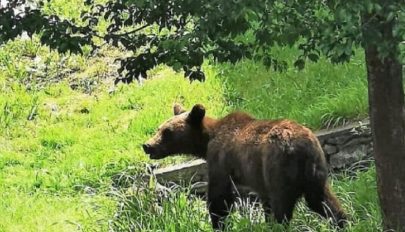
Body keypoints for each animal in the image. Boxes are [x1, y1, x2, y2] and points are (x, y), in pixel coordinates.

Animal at [142, 104, 344, 230]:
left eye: (167, 132)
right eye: (159, 128)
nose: (147, 145)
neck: (206, 141)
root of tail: (300, 147)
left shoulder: (219, 161)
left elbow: (219, 198)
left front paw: (218, 223)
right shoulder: (259, 177)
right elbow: (265, 202)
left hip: (279, 169)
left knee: (283, 206)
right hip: (315, 170)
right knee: (323, 201)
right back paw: (342, 221)